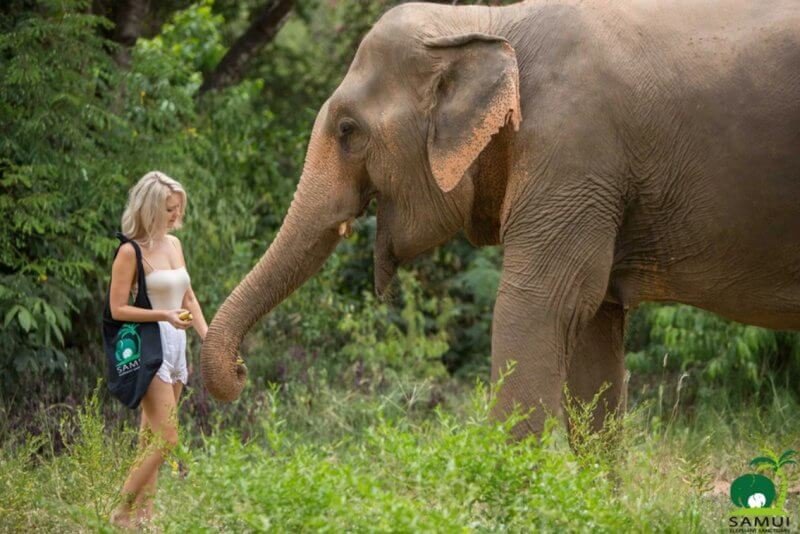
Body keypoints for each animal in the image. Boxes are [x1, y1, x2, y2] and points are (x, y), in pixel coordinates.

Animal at [201, 1, 800, 437]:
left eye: (348, 130)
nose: (242, 372)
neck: (485, 21)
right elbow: (593, 334)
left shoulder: (574, 152)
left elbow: (535, 308)